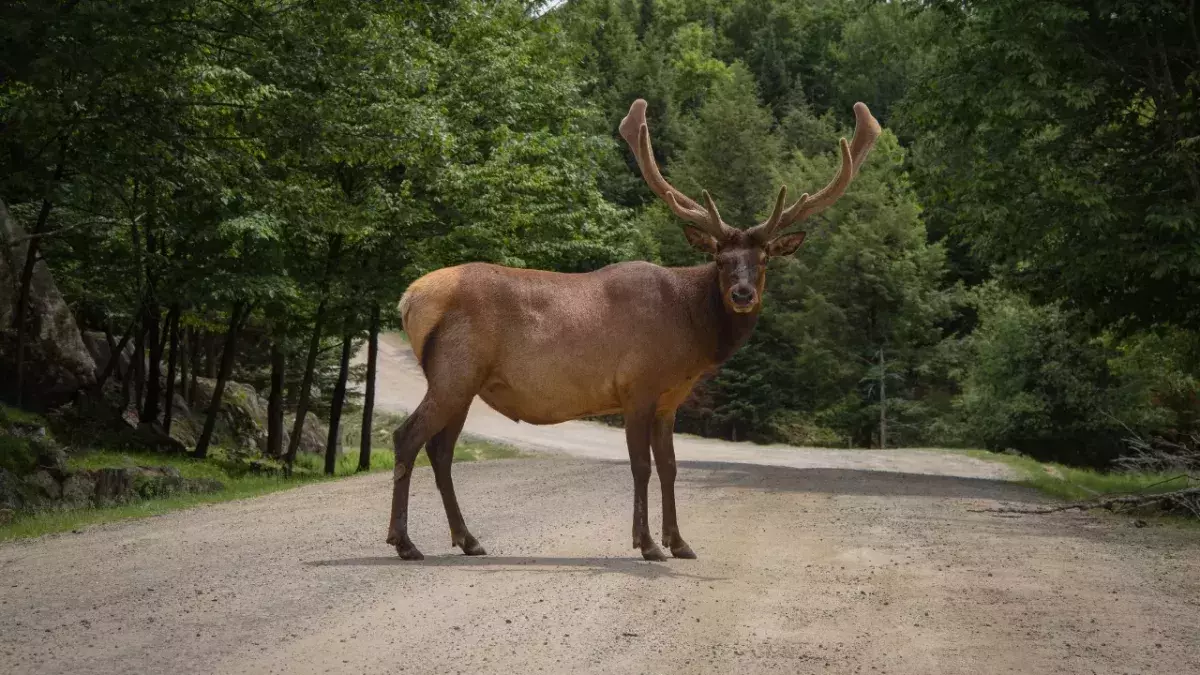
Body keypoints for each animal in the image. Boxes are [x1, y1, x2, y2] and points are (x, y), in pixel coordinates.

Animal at [388, 98, 881, 561]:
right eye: (720, 259)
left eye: (763, 261)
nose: (742, 294)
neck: (690, 335)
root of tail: (409, 298)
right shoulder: (636, 386)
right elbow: (640, 465)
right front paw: (646, 544)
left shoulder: (669, 400)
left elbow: (670, 465)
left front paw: (679, 541)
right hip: (454, 371)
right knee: (407, 437)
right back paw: (404, 541)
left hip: (464, 382)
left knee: (441, 450)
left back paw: (467, 539)